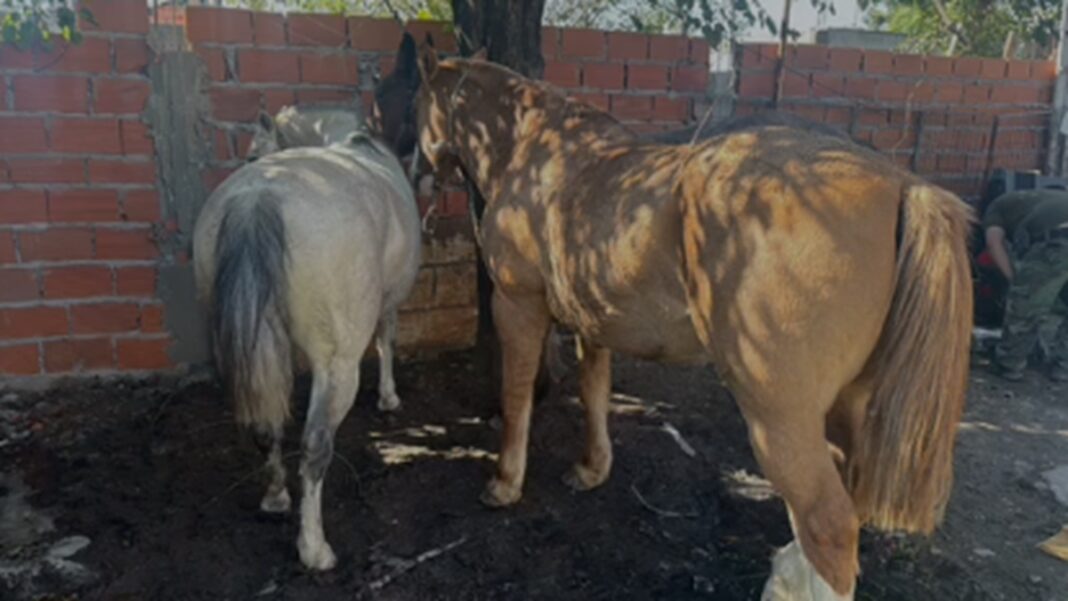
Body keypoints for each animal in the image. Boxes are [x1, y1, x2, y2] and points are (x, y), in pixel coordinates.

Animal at [192, 111, 421, 570]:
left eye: (251, 152)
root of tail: (257, 198)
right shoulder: (388, 303)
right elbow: (387, 340)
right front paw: (389, 397)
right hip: (337, 366)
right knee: (316, 447)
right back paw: (315, 549)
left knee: (265, 427)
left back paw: (276, 497)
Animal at [410, 47, 973, 600]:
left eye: (415, 97)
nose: (417, 170)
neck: (538, 155)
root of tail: (903, 185)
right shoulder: (592, 322)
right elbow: (595, 392)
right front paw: (591, 469)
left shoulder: (517, 306)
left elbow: (517, 394)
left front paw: (504, 483)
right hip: (851, 405)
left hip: (779, 414)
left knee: (827, 520)